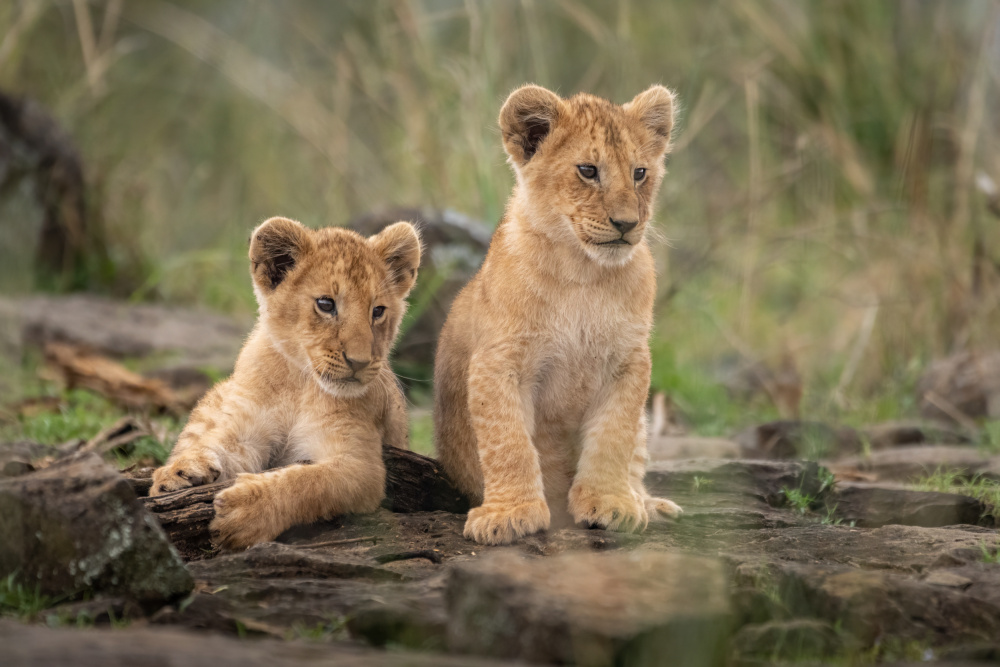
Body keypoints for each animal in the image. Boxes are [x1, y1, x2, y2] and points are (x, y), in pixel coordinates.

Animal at [150, 217, 421, 550]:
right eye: (325, 304)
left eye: (378, 311)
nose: (359, 362)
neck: (299, 381)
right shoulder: (248, 432)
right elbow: (223, 447)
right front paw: (182, 471)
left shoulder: (362, 466)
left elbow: (310, 481)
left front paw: (247, 512)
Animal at [433, 84, 682, 545]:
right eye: (588, 170)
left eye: (640, 173)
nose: (627, 223)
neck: (583, 272)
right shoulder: (499, 361)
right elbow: (508, 440)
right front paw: (510, 513)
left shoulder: (629, 361)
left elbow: (614, 436)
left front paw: (611, 504)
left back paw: (648, 503)